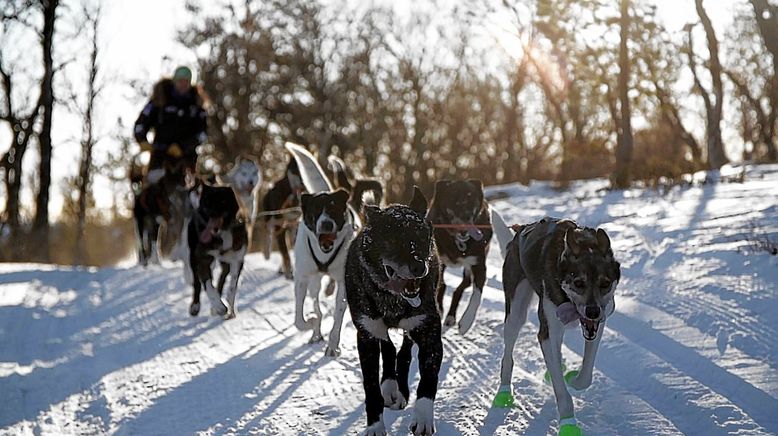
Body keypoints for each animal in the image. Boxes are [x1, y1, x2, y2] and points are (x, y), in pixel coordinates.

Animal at [185, 182, 246, 318]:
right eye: (206, 202)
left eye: (222, 201)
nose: (211, 213)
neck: (222, 233)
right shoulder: (202, 258)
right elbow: (208, 285)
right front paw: (219, 307)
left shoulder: (237, 259)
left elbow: (233, 285)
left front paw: (229, 307)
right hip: (193, 257)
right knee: (197, 282)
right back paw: (196, 306)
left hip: (225, 261)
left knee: (223, 276)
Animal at [284, 141, 358, 356]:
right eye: (316, 211)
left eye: (334, 209)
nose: (326, 224)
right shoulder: (301, 278)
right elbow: (299, 320)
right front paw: (311, 322)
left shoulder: (344, 282)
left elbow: (339, 316)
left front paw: (333, 345)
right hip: (314, 282)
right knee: (316, 302)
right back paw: (316, 330)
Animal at [346, 187, 442, 436]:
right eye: (394, 239)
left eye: (423, 236)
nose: (419, 267)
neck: (392, 300)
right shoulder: (367, 336)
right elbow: (371, 388)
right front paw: (375, 426)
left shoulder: (429, 334)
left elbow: (427, 382)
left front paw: (423, 418)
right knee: (388, 348)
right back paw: (389, 387)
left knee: (403, 352)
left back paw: (399, 390)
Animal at [424, 179, 492, 336]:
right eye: (454, 199)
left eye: (471, 197)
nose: (467, 215)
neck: (458, 241)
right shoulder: (438, 261)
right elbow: (441, 285)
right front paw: (439, 308)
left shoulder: (478, 264)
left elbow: (477, 294)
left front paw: (466, 322)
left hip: (469, 269)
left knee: (461, 287)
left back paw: (451, 317)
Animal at [492, 211, 620, 432]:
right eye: (578, 283)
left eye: (605, 283)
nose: (593, 311)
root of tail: (518, 234)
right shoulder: (547, 332)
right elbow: (561, 389)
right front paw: (568, 421)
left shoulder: (598, 326)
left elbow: (586, 375)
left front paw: (573, 379)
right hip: (516, 312)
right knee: (508, 354)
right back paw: (504, 391)